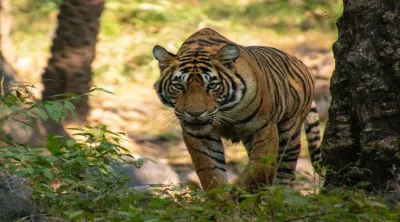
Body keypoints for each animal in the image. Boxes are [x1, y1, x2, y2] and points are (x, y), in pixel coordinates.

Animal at [152, 28, 322, 191]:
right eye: (179, 86)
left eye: (212, 85)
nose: (195, 113)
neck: (224, 110)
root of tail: (303, 65)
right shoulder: (199, 136)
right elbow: (210, 172)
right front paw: (222, 199)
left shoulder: (264, 128)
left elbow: (259, 168)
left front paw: (241, 193)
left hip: (290, 132)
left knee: (286, 172)